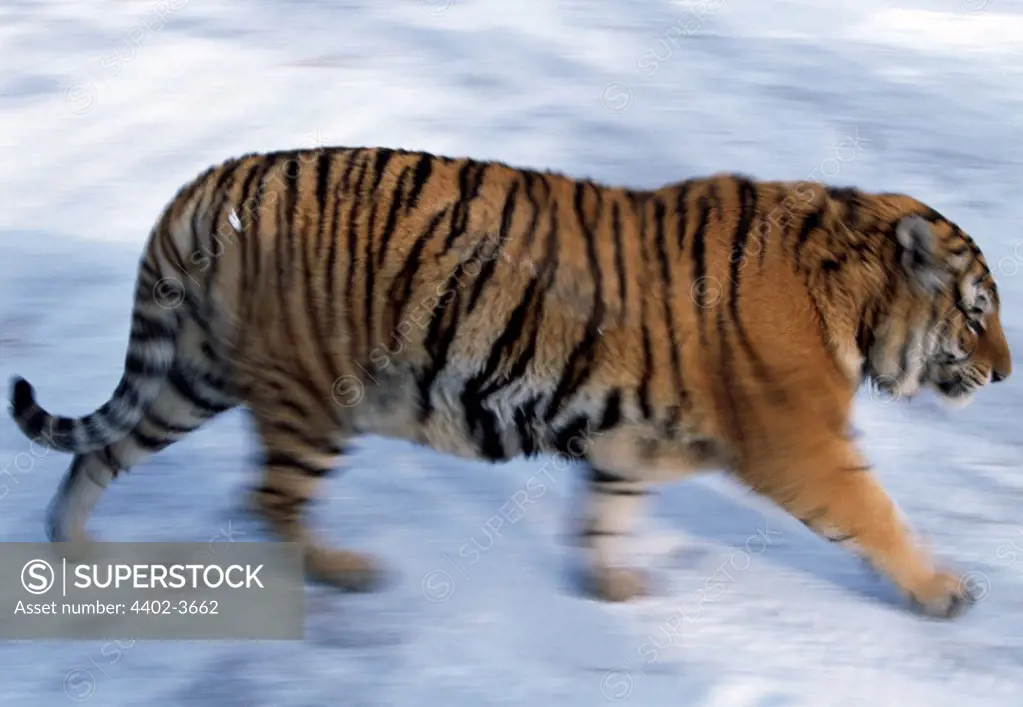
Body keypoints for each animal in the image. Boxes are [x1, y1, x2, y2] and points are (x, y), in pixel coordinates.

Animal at [7, 145, 1010, 617]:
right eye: (974, 312)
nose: (1004, 373)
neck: (851, 297)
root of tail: (208, 182)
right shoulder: (800, 441)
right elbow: (874, 513)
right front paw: (943, 591)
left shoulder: (629, 439)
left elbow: (608, 510)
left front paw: (612, 586)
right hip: (311, 395)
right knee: (268, 501)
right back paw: (344, 570)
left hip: (197, 369)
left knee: (101, 453)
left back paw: (71, 547)